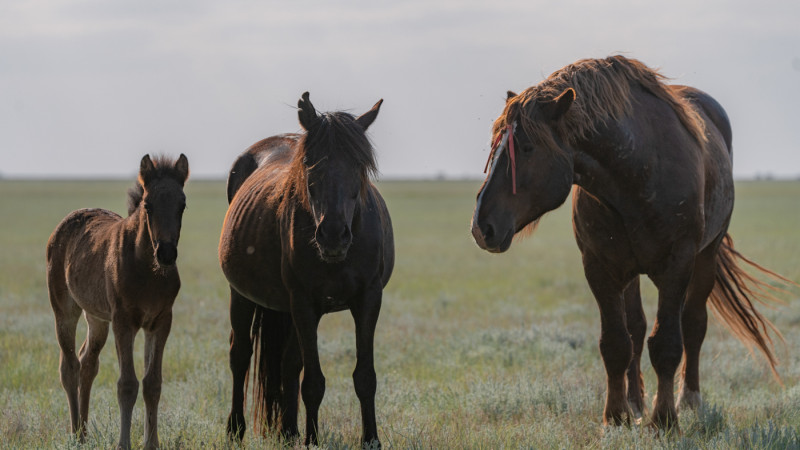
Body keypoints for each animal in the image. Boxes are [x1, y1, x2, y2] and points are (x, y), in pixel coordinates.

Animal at [47, 153, 189, 448]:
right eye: (148, 205)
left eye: (182, 205)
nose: (167, 253)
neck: (148, 270)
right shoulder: (123, 321)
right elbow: (127, 384)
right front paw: (124, 443)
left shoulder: (160, 321)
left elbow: (152, 383)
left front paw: (152, 443)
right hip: (64, 310)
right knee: (70, 366)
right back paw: (75, 434)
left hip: (97, 317)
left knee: (88, 363)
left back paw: (84, 433)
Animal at [219, 91, 394, 446]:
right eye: (309, 166)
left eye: (359, 166)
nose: (333, 234)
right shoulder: (304, 302)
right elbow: (313, 382)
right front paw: (312, 441)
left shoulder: (368, 300)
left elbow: (364, 377)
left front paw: (370, 439)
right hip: (242, 295)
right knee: (240, 354)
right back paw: (236, 430)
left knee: (287, 363)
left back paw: (288, 431)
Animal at [468, 55, 788, 428]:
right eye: (495, 148)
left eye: (528, 148)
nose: (481, 227)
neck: (637, 171)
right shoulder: (600, 267)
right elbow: (616, 343)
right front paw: (616, 416)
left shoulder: (677, 265)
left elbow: (667, 343)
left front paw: (664, 420)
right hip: (631, 271)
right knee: (636, 330)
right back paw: (636, 403)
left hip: (706, 256)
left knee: (693, 324)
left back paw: (689, 399)